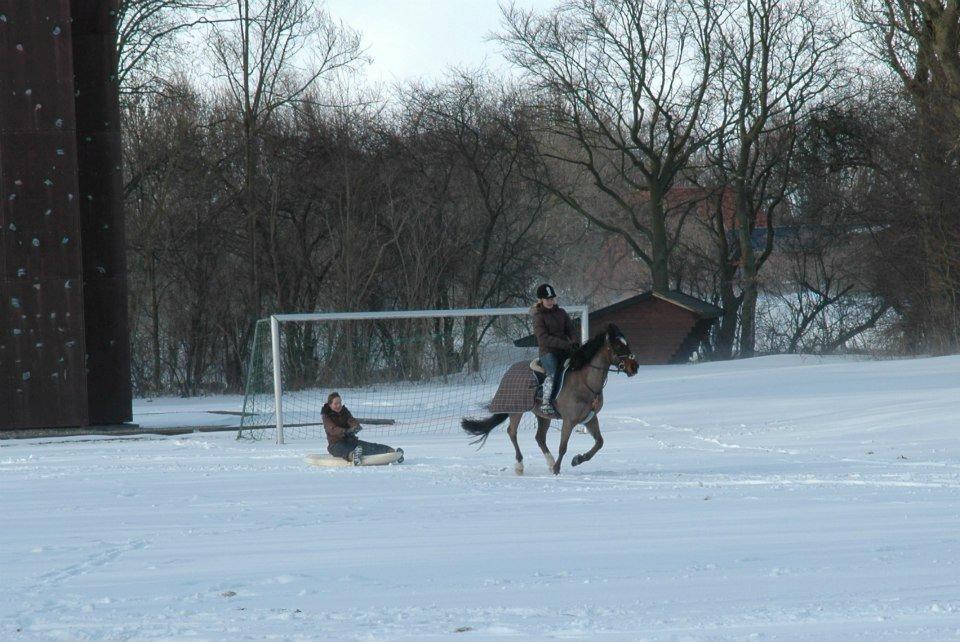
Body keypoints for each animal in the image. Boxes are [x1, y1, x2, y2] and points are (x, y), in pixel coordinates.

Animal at [464, 322, 636, 472]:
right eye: (618, 345)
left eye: (626, 343)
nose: (634, 367)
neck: (584, 381)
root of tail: (509, 371)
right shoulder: (569, 421)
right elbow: (563, 447)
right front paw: (557, 469)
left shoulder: (590, 418)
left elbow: (599, 442)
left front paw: (577, 459)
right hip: (516, 410)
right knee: (512, 432)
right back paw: (520, 465)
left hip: (542, 416)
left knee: (539, 438)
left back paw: (550, 462)